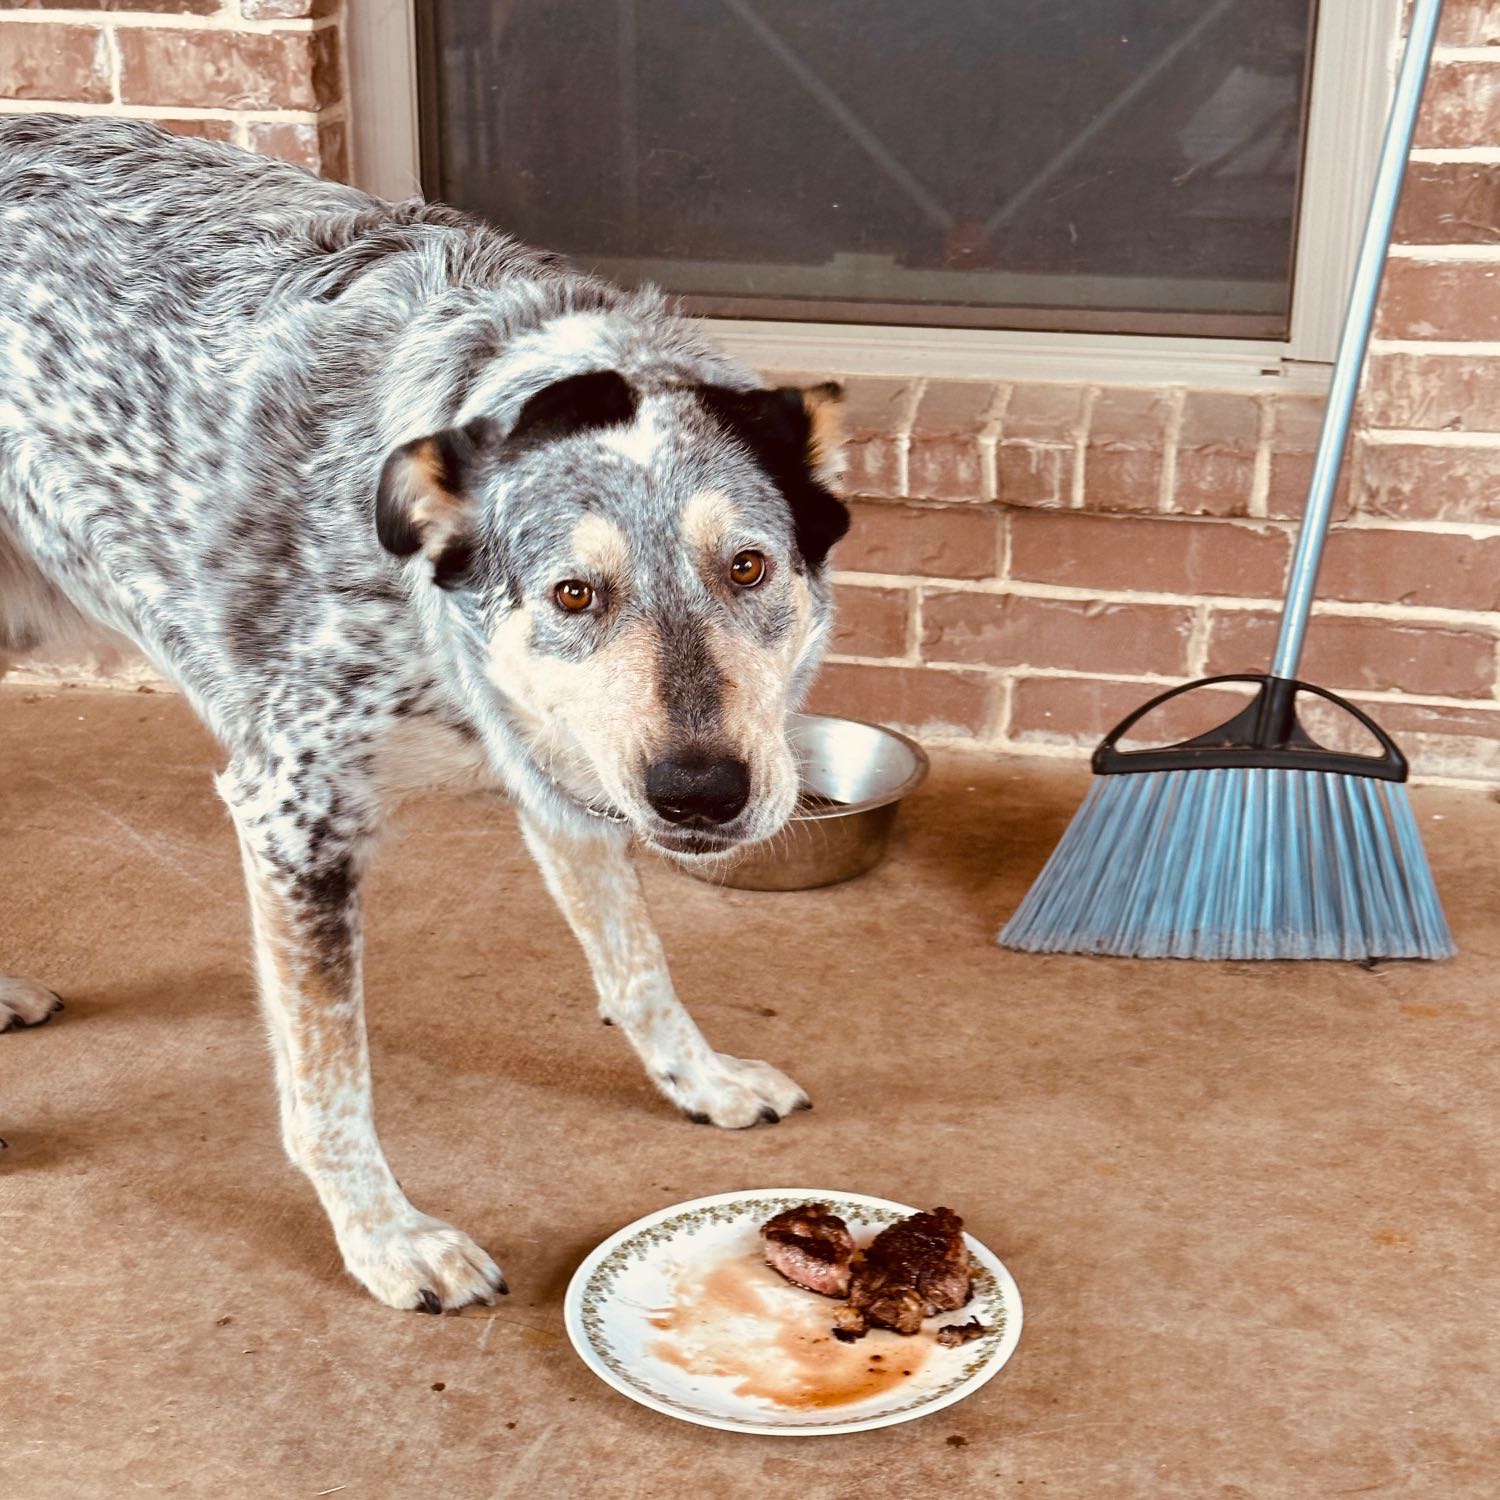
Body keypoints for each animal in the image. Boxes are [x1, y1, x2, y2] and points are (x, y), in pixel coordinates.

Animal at [0, 117, 852, 1314]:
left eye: (748, 567)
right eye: (573, 595)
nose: (702, 795)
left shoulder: (572, 776)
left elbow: (637, 966)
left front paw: (701, 1079)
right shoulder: (293, 817)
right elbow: (331, 1082)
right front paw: (384, 1239)